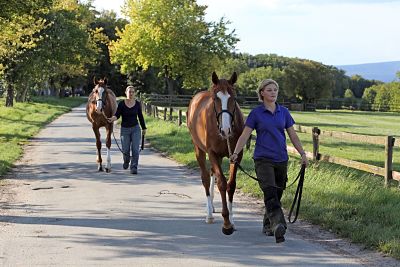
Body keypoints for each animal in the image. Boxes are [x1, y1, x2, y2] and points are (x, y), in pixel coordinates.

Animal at [187, 72, 244, 236]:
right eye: (215, 99)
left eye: (234, 98)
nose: (225, 130)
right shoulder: (212, 153)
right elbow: (222, 184)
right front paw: (226, 223)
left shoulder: (236, 155)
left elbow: (231, 185)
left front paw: (232, 220)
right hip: (199, 150)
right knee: (206, 178)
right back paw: (209, 215)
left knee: (212, 173)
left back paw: (211, 206)